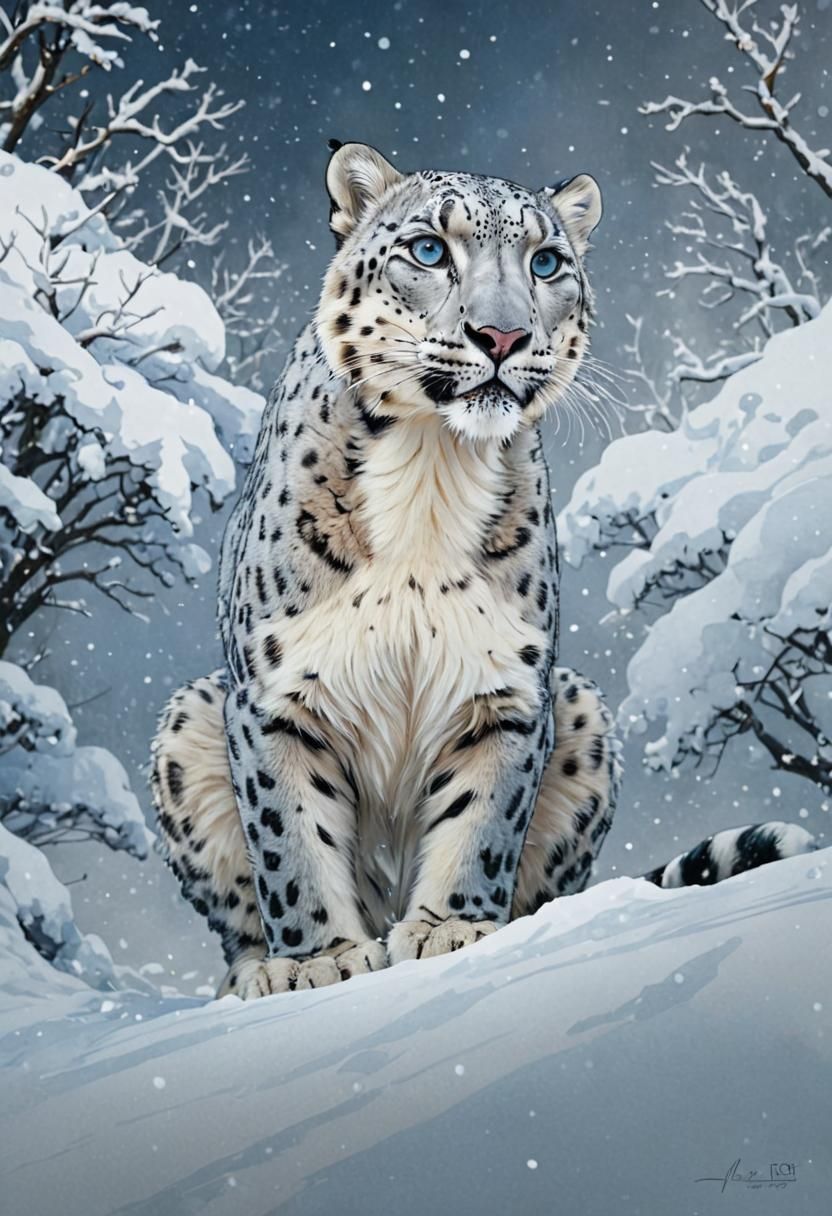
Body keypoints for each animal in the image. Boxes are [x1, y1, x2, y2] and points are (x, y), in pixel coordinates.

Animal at [151, 142, 816, 1000]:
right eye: (430, 249)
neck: (433, 468)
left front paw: (451, 931)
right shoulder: (276, 694)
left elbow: (482, 819)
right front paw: (319, 960)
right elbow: (290, 838)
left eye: (546, 261)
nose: (501, 335)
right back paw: (256, 971)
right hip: (188, 720)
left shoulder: (506, 686)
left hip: (581, 710)